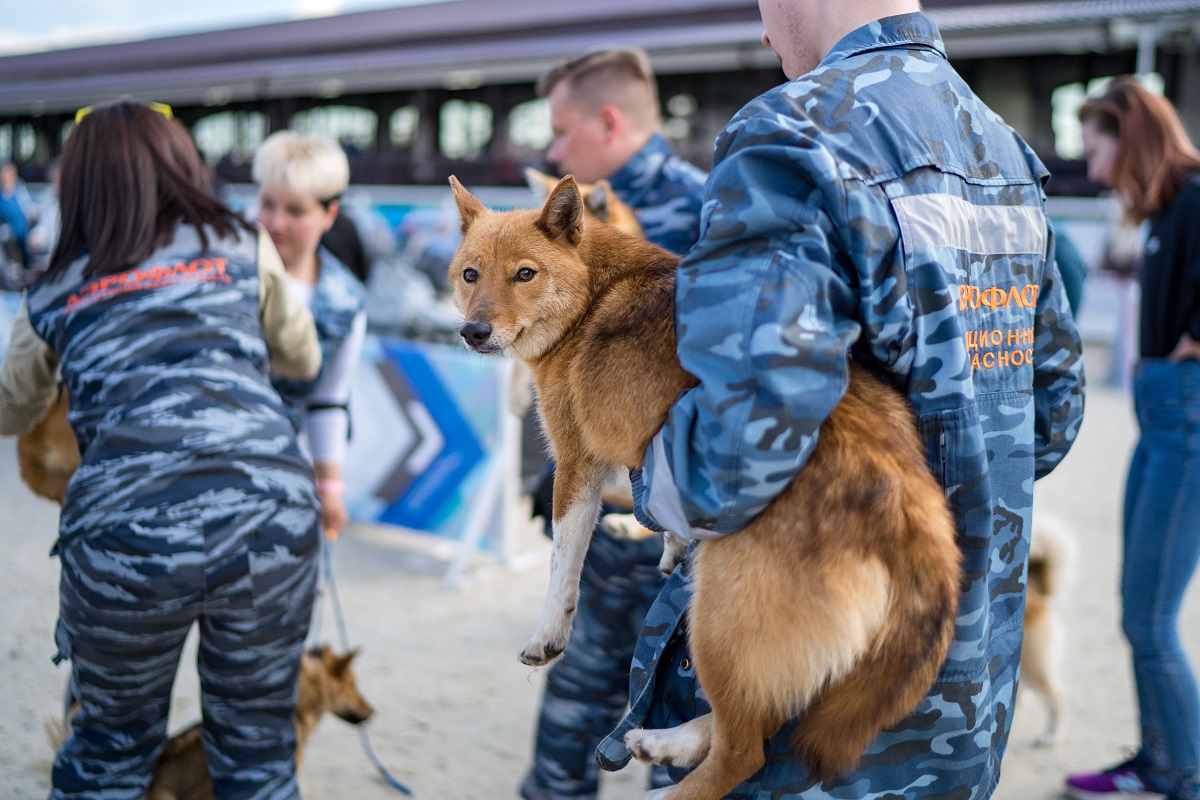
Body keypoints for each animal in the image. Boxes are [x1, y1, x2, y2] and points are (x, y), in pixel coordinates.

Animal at [446, 176, 960, 800]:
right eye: (471, 274)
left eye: (525, 273)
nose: (473, 332)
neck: (594, 290)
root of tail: (907, 506)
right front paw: (663, 543)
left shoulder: (577, 464)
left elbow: (562, 566)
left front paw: (549, 635)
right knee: (763, 724)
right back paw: (668, 741)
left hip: (716, 620)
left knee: (745, 752)